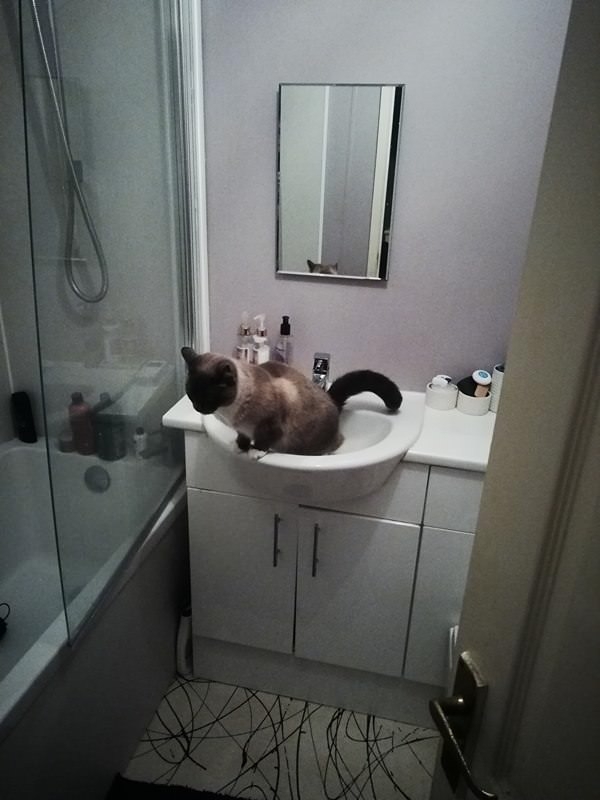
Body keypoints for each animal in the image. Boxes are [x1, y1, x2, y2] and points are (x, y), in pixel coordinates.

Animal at [180, 348, 400, 456]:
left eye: (207, 397)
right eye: (191, 394)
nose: (197, 408)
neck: (230, 413)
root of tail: (330, 398)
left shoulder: (270, 426)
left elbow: (263, 441)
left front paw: (255, 453)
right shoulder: (242, 430)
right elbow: (242, 438)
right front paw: (240, 448)